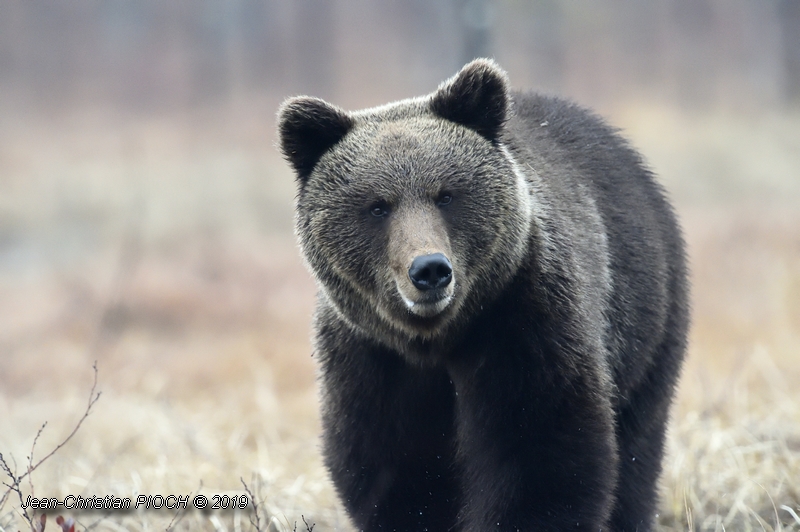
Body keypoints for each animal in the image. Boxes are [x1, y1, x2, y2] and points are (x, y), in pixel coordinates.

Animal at [276, 59, 688, 532]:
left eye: (446, 195)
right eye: (378, 206)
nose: (430, 270)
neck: (436, 340)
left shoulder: (523, 321)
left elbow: (537, 452)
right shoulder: (371, 360)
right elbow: (396, 470)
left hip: (645, 320)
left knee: (636, 452)